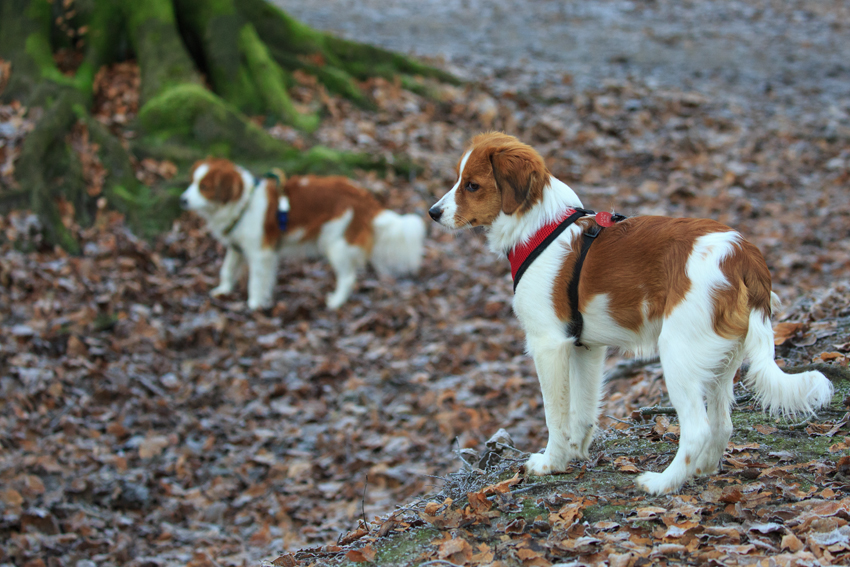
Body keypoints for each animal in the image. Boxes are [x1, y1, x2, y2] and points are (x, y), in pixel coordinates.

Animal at [183, 158, 428, 310]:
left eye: (204, 187)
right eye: (192, 182)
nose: (182, 200)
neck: (245, 203)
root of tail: (364, 198)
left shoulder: (260, 253)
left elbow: (256, 280)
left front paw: (254, 303)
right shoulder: (237, 247)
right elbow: (226, 270)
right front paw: (223, 291)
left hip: (335, 245)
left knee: (348, 278)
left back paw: (335, 302)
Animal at [428, 132, 832, 492]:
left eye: (472, 185)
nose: (433, 213)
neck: (540, 226)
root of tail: (743, 254)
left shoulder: (549, 344)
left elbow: (555, 413)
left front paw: (551, 462)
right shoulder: (586, 347)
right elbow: (583, 410)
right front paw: (575, 453)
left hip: (679, 353)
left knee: (697, 428)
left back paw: (662, 484)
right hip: (721, 360)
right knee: (722, 424)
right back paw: (701, 470)